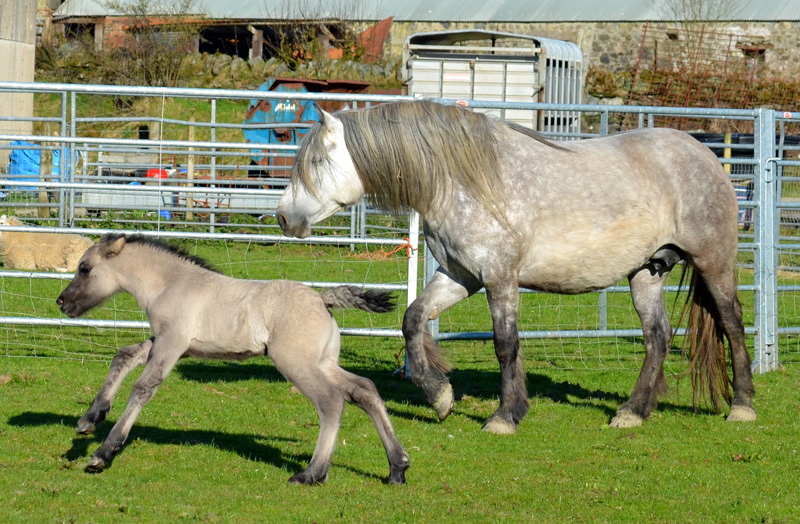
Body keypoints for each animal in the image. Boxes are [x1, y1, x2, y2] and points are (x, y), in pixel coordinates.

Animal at [55, 233, 409, 485]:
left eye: (85, 269)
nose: (61, 302)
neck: (171, 283)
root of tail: (322, 299)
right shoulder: (168, 342)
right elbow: (124, 356)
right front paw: (90, 418)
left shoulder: (172, 342)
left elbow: (143, 388)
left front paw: (103, 452)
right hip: (324, 362)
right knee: (365, 390)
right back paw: (397, 468)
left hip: (295, 364)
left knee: (332, 401)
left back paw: (311, 474)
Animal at [276, 99, 757, 434]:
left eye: (316, 161)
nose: (283, 218)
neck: (460, 181)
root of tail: (705, 154)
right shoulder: (459, 276)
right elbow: (413, 320)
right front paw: (441, 397)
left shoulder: (499, 278)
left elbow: (505, 345)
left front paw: (505, 416)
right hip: (647, 271)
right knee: (657, 336)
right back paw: (633, 412)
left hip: (713, 262)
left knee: (731, 323)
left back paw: (742, 405)